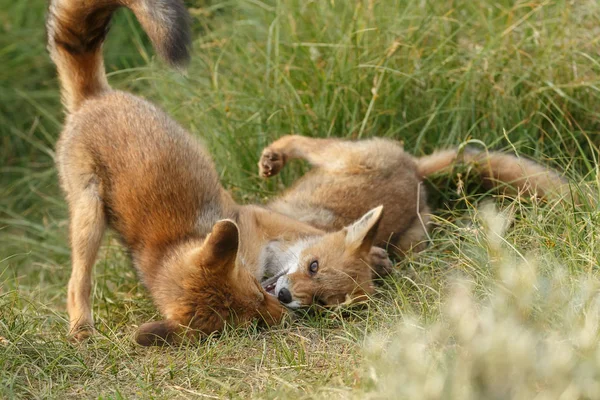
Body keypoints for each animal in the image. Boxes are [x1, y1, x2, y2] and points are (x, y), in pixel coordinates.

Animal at [47, 0, 390, 344]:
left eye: (257, 293)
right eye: (252, 324)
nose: (284, 307)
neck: (177, 244)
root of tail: (92, 96)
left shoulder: (252, 217)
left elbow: (314, 233)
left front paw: (370, 255)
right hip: (89, 216)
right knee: (77, 282)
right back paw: (81, 328)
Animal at [258, 136, 572, 308]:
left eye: (320, 301)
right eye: (313, 266)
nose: (284, 295)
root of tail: (416, 170)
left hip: (411, 240)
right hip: (336, 155)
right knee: (299, 140)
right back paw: (274, 157)